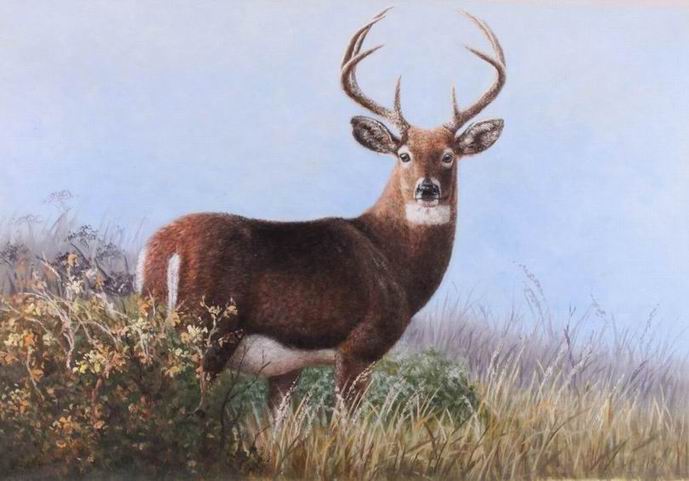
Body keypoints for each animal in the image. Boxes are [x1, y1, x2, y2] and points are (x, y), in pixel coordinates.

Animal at [135, 8, 506, 414]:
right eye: (404, 155)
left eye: (449, 155)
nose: (427, 189)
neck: (391, 257)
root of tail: (162, 249)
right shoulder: (361, 345)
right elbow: (345, 421)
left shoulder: (286, 366)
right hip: (209, 331)